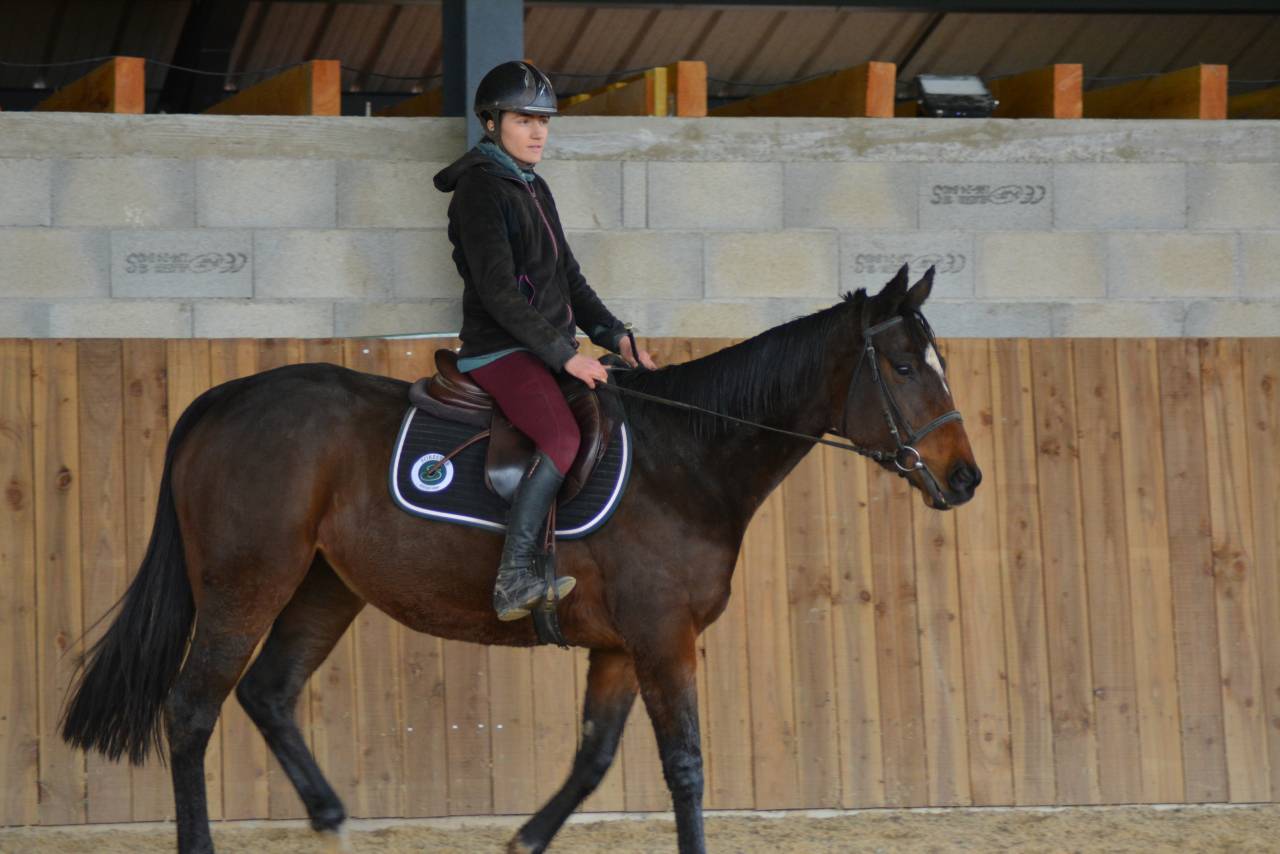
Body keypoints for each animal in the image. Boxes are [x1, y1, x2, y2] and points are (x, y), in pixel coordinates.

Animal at [61, 264, 980, 854]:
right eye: (904, 365)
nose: (965, 479)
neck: (688, 457)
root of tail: (222, 399)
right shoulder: (663, 637)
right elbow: (685, 768)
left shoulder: (621, 647)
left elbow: (594, 758)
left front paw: (526, 839)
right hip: (246, 582)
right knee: (192, 709)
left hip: (326, 587)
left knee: (268, 692)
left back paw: (332, 818)